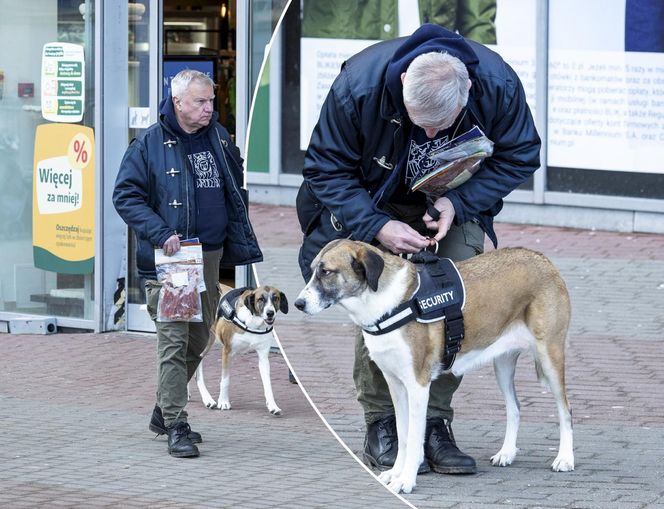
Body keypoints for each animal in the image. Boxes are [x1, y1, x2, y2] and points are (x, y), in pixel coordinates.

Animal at [191, 284, 286, 414]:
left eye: (276, 298)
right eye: (260, 299)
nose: (270, 313)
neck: (253, 323)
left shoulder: (263, 358)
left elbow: (268, 384)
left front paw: (272, 405)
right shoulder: (227, 351)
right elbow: (225, 380)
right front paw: (223, 402)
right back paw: (207, 399)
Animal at [294, 240, 572, 494]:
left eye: (326, 272)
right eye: (313, 270)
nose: (298, 304)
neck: (384, 303)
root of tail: (542, 259)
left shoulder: (418, 384)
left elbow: (415, 434)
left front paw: (406, 479)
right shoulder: (395, 384)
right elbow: (403, 433)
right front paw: (396, 472)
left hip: (549, 355)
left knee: (565, 410)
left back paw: (565, 458)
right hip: (502, 364)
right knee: (514, 407)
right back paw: (507, 453)